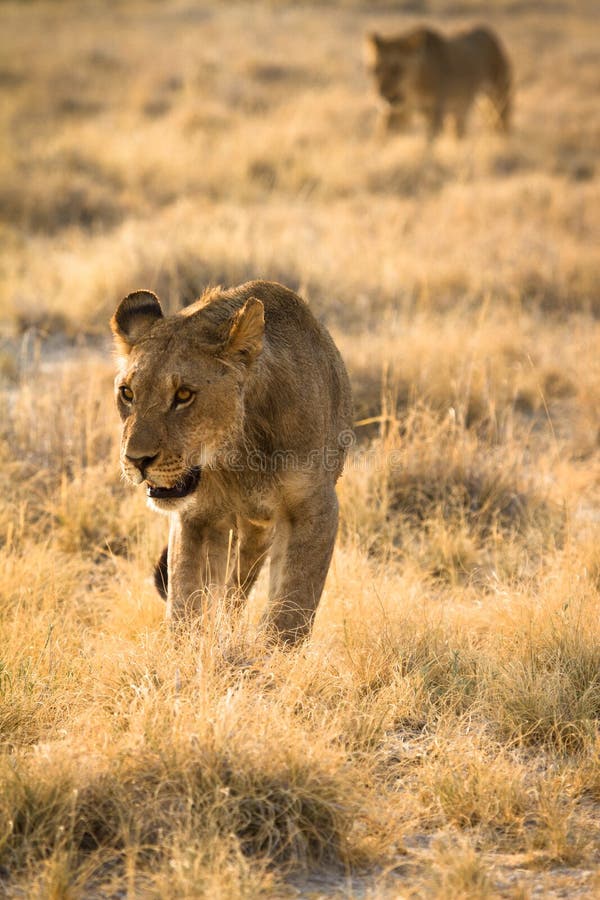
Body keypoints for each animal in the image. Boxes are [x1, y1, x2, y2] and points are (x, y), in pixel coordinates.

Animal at [111, 280, 353, 644]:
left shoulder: (314, 508)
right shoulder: (195, 517)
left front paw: (271, 653)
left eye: (184, 395)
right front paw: (187, 648)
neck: (237, 455)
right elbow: (186, 601)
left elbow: (292, 606)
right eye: (127, 393)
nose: (136, 460)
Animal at [365, 25, 512, 140]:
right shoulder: (395, 114)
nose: (384, 96)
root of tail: (489, 33)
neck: (415, 88)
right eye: (374, 70)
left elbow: (429, 143)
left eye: (397, 69)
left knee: (501, 122)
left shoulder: (435, 112)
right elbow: (382, 138)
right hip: (462, 109)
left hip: (498, 96)